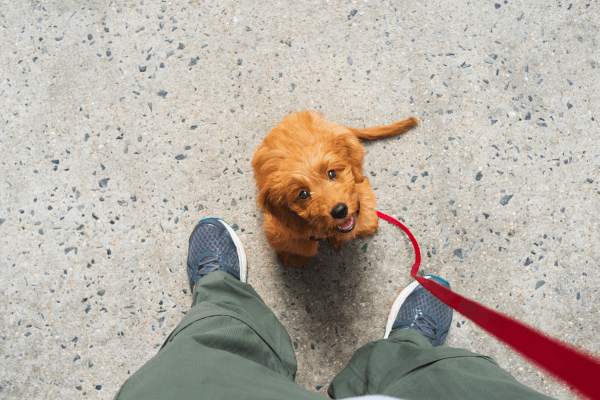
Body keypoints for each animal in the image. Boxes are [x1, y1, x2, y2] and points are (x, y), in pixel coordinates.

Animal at [252, 111, 418, 268]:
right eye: (302, 194)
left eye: (332, 173)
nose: (340, 211)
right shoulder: (282, 229)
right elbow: (294, 246)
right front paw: (293, 258)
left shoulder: (361, 193)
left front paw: (366, 226)